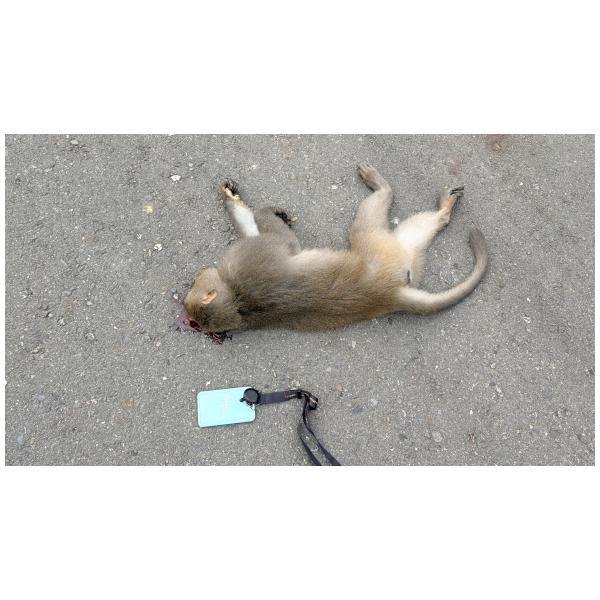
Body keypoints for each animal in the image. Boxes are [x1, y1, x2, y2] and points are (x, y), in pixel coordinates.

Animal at [182, 163, 488, 334]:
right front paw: (267, 211)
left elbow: (257, 228)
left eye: (193, 283)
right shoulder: (248, 262)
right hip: (382, 248)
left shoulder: (241, 266)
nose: (194, 275)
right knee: (371, 224)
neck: (238, 301)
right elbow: (283, 241)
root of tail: (389, 294)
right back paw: (393, 192)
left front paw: (230, 196)